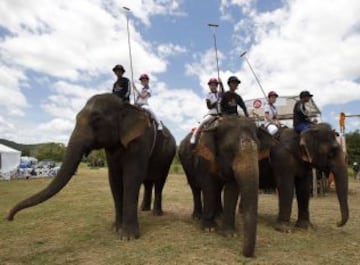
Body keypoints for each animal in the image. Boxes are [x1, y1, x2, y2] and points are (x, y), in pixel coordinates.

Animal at [4, 93, 176, 239]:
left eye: (97, 119)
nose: (9, 218)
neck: (125, 105)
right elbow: (114, 180)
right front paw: (116, 229)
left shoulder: (140, 142)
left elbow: (131, 178)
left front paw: (128, 237)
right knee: (148, 182)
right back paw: (144, 210)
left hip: (168, 157)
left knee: (159, 182)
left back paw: (156, 214)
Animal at [180, 115, 270, 256]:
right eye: (229, 149)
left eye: (259, 148)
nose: (245, 253)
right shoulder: (204, 157)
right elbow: (208, 186)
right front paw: (209, 229)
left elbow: (231, 190)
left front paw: (230, 234)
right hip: (186, 165)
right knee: (195, 188)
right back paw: (197, 217)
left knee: (217, 189)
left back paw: (219, 215)